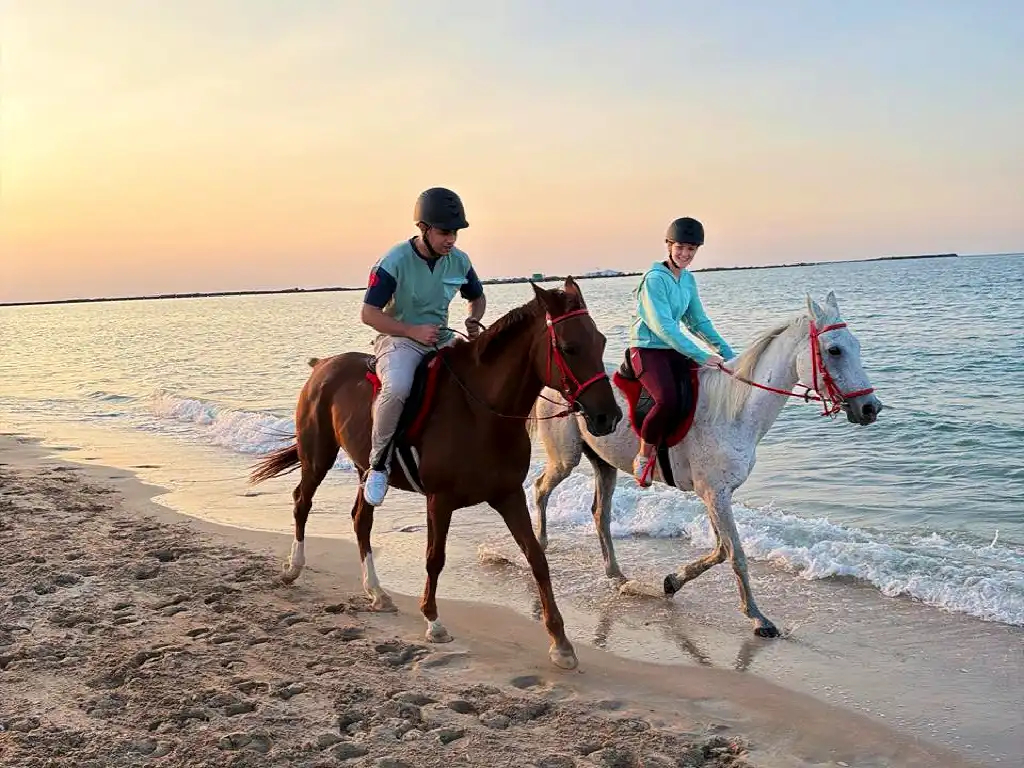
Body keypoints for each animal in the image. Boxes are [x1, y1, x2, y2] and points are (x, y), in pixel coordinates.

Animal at [248, 278, 623, 670]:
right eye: (568, 347)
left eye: (601, 342)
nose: (607, 417)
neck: (481, 413)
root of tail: (322, 366)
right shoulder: (439, 501)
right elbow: (435, 557)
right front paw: (433, 620)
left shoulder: (508, 495)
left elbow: (536, 558)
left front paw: (560, 642)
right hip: (317, 456)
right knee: (302, 503)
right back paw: (294, 566)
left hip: (365, 468)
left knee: (360, 519)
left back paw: (376, 592)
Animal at [529, 291, 883, 637]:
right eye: (834, 350)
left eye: (856, 346)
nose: (871, 407)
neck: (733, 411)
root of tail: (554, 381)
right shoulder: (715, 494)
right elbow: (736, 554)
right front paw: (758, 618)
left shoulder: (717, 494)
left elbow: (721, 550)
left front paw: (672, 582)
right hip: (566, 459)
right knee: (540, 488)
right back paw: (541, 546)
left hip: (604, 464)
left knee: (600, 515)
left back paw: (616, 574)